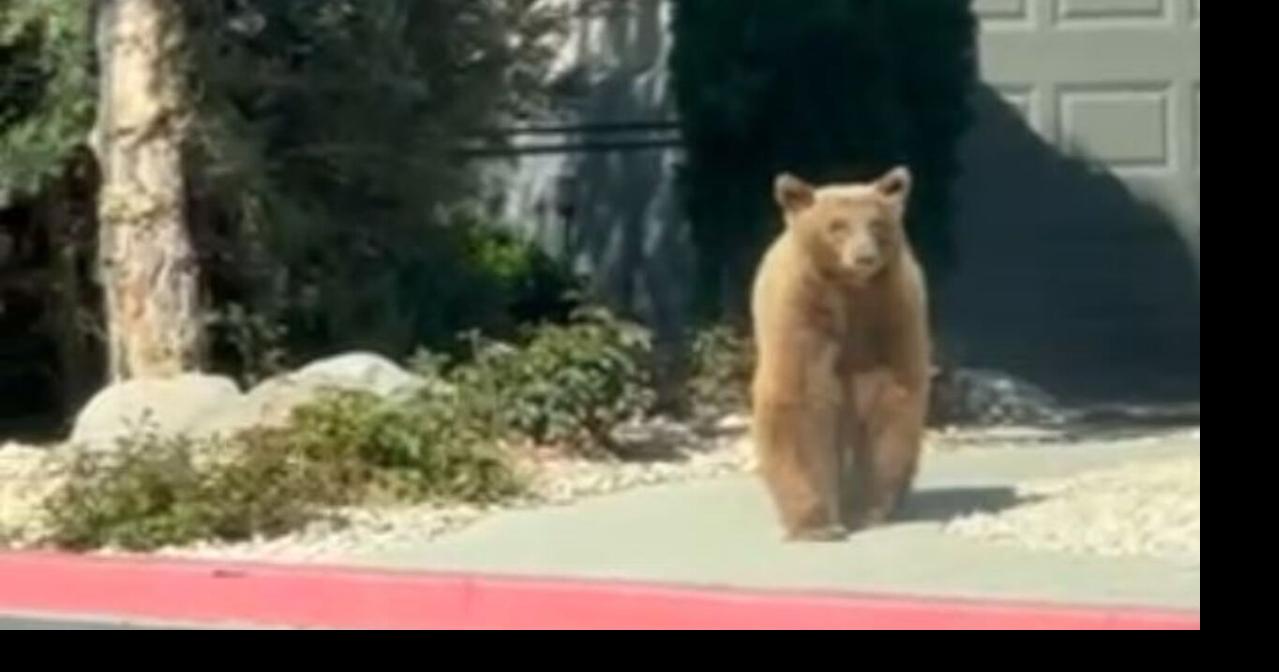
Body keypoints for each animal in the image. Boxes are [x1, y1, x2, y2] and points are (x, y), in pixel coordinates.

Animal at [749, 166, 932, 541]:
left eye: (876, 223)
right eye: (837, 226)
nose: (864, 257)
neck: (849, 293)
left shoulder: (890, 311)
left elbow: (891, 397)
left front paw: (869, 507)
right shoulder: (803, 312)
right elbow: (802, 397)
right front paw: (818, 523)